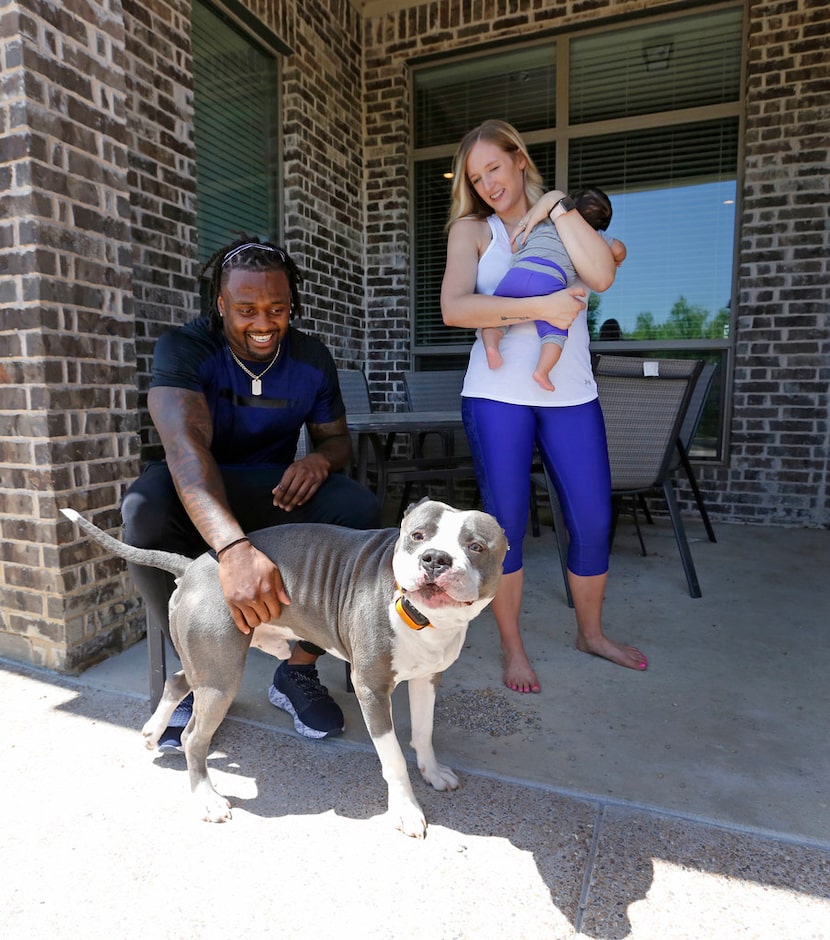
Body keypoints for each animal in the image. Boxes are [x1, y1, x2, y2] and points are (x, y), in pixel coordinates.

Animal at [63, 500, 508, 836]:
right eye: (417, 537)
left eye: (476, 546)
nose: (435, 559)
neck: (423, 618)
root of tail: (194, 565)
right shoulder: (371, 688)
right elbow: (394, 757)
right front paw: (406, 811)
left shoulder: (428, 678)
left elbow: (424, 732)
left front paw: (432, 772)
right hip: (222, 676)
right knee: (193, 737)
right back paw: (207, 798)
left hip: (209, 665)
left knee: (176, 680)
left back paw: (153, 732)